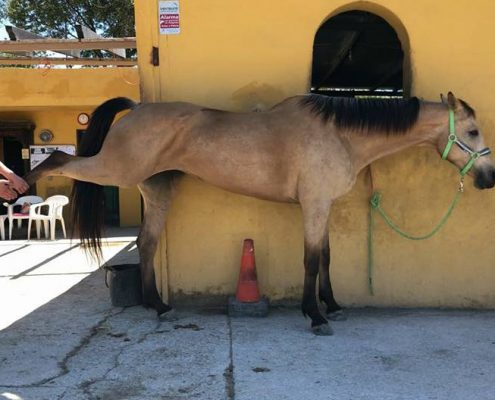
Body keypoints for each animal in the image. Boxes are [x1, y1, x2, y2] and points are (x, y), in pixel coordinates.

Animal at [24, 91, 495, 334]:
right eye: (472, 131)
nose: (488, 178)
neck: (339, 135)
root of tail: (137, 108)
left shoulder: (322, 207)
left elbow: (327, 258)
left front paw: (332, 305)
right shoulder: (314, 206)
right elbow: (310, 260)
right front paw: (315, 316)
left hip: (156, 192)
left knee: (147, 243)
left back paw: (158, 307)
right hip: (114, 168)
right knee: (58, 161)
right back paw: (25, 180)